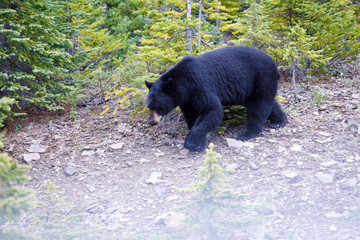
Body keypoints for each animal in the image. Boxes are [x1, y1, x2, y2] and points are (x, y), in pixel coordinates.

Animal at [145, 45, 286, 151]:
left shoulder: (200, 85)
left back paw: (246, 134)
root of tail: (275, 65)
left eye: (158, 107)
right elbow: (191, 114)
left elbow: (212, 109)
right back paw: (278, 121)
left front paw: (193, 144)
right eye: (149, 107)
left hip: (262, 77)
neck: (185, 83)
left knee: (258, 105)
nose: (151, 121)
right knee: (269, 103)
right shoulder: (186, 99)